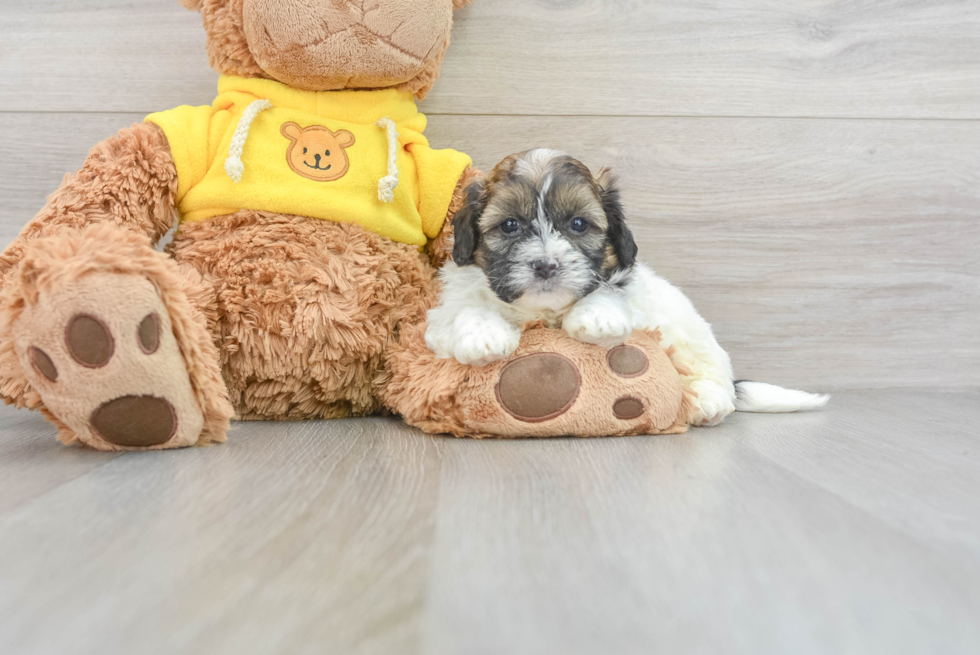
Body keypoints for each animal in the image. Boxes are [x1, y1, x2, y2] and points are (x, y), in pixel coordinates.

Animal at [426, 148, 828, 426]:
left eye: (578, 224)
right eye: (509, 225)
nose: (546, 265)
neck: (545, 312)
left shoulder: (632, 291)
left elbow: (610, 290)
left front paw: (596, 320)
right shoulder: (440, 315)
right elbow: (465, 308)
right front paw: (483, 337)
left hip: (694, 338)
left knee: (714, 374)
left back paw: (706, 400)